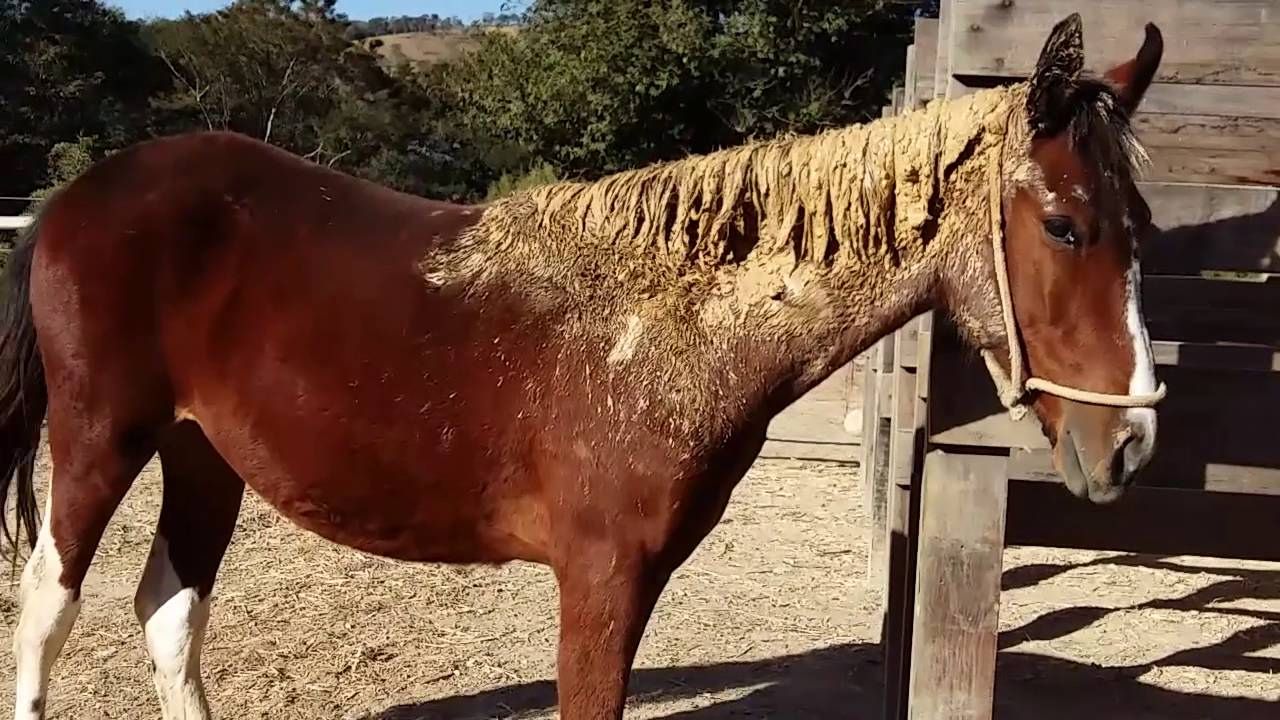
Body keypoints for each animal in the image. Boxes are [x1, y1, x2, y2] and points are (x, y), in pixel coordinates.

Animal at [5, 12, 1172, 717]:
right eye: (1064, 225)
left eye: (1141, 227)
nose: (1128, 442)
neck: (662, 323)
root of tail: (74, 199)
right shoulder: (600, 581)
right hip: (102, 440)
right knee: (48, 609)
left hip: (201, 455)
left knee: (169, 613)